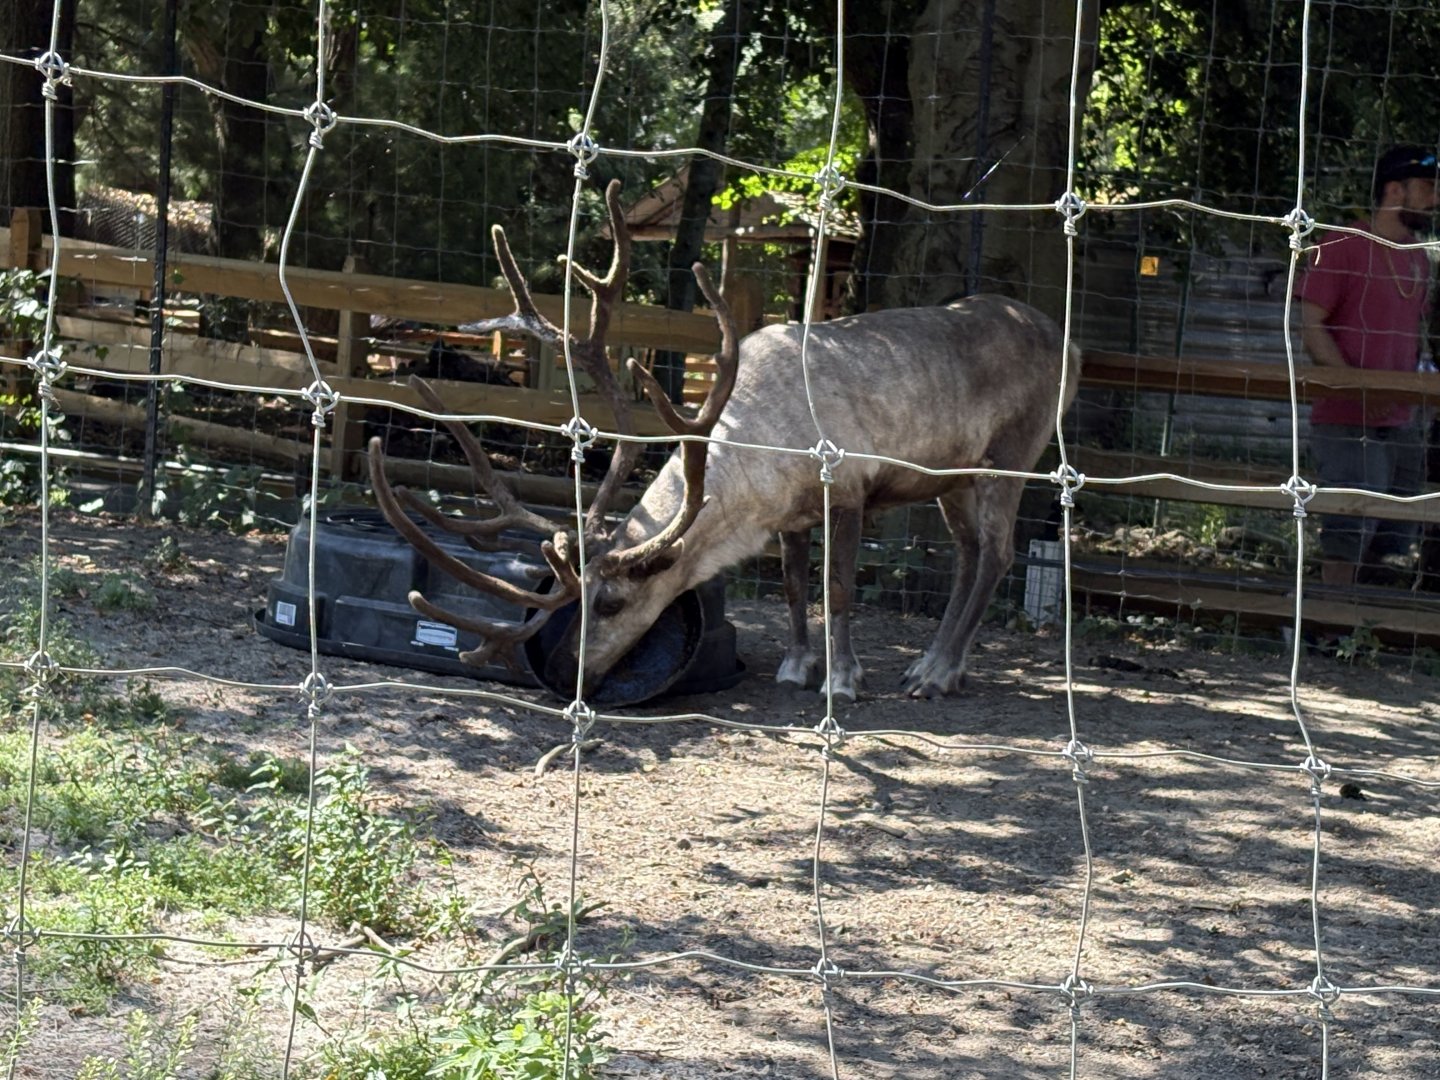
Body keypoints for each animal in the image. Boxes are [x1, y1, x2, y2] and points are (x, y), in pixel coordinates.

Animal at [367, 180, 1079, 705]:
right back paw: (934, 665)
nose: (572, 672)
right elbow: (792, 585)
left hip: (1013, 455)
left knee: (998, 553)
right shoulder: (792, 515)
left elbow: (838, 588)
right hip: (952, 479)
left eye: (611, 601)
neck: (758, 468)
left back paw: (936, 673)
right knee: (970, 553)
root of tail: (1068, 345)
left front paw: (842, 681)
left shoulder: (847, 487)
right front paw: (797, 667)